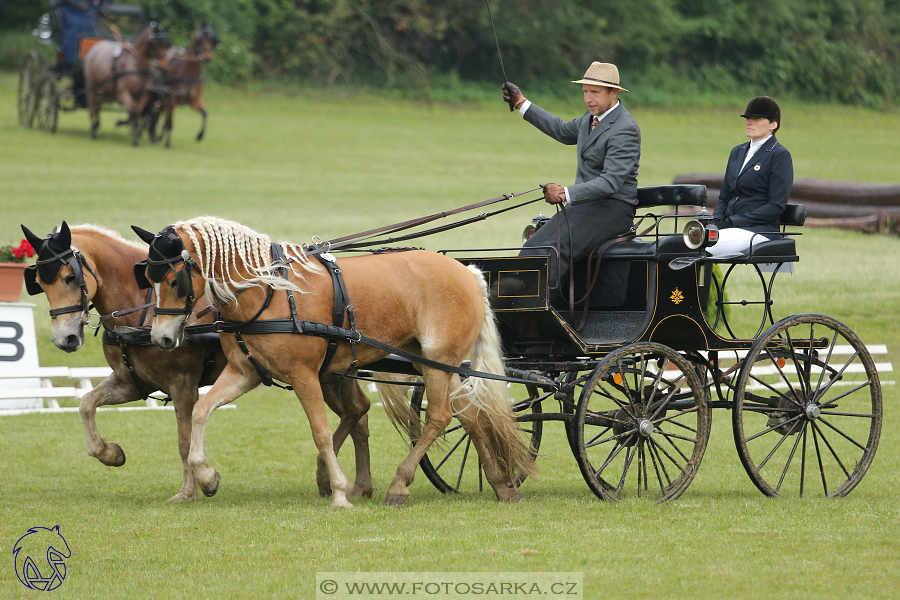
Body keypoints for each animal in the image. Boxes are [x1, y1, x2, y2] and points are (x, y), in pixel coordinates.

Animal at [22, 220, 372, 502]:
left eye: (69, 277)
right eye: (39, 283)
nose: (65, 339)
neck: (143, 308)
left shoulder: (182, 385)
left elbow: (184, 439)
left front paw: (192, 489)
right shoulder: (132, 382)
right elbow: (85, 404)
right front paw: (110, 453)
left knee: (355, 412)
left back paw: (337, 478)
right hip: (331, 374)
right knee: (360, 413)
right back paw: (359, 485)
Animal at [137, 216, 536, 506]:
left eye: (173, 281)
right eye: (147, 280)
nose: (161, 339)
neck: (269, 291)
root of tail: (466, 271)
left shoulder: (304, 375)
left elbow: (321, 432)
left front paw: (341, 491)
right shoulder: (244, 372)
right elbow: (201, 411)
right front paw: (206, 477)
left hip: (440, 359)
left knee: (440, 416)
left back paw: (400, 484)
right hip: (431, 360)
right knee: (469, 412)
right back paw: (501, 485)